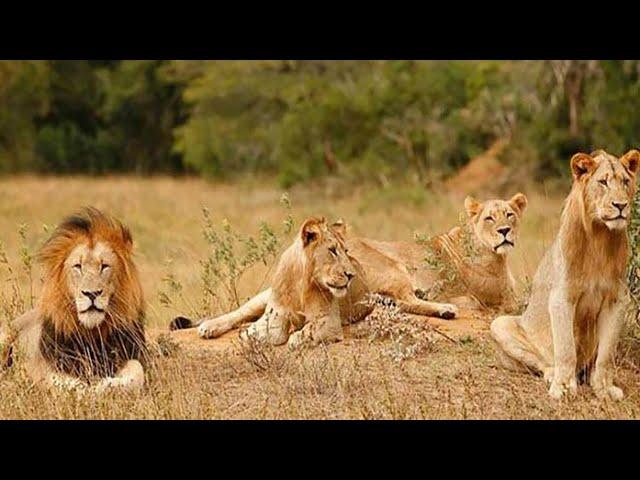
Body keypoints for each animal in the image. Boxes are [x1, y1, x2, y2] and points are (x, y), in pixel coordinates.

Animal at [0, 208, 146, 392]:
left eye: (104, 266)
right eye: (78, 266)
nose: (92, 294)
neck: (91, 333)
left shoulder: (131, 353)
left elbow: (137, 371)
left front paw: (105, 386)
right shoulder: (44, 363)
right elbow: (59, 382)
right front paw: (86, 390)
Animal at [170, 216, 458, 346]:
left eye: (346, 251)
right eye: (332, 250)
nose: (351, 275)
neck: (300, 283)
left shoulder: (328, 322)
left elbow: (302, 334)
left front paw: (296, 337)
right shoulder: (275, 317)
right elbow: (260, 331)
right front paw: (249, 337)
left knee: (410, 301)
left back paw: (445, 309)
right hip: (261, 299)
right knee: (238, 314)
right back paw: (210, 326)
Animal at [492, 150, 636, 402]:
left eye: (625, 182)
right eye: (603, 182)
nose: (621, 205)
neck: (601, 239)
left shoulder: (616, 300)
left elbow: (606, 354)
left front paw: (604, 388)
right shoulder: (561, 297)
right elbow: (566, 348)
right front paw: (564, 387)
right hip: (499, 324)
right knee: (543, 362)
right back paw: (553, 374)